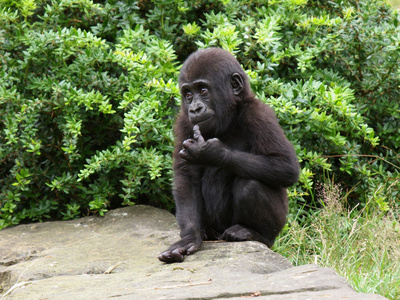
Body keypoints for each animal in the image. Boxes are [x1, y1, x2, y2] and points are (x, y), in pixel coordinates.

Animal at [158, 47, 298, 262]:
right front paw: (189, 238)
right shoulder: (183, 122)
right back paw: (205, 233)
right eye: (188, 94)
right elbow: (186, 178)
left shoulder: (259, 114)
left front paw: (212, 153)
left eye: (203, 90)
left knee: (250, 184)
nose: (195, 109)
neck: (230, 115)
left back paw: (254, 233)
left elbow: (285, 165)